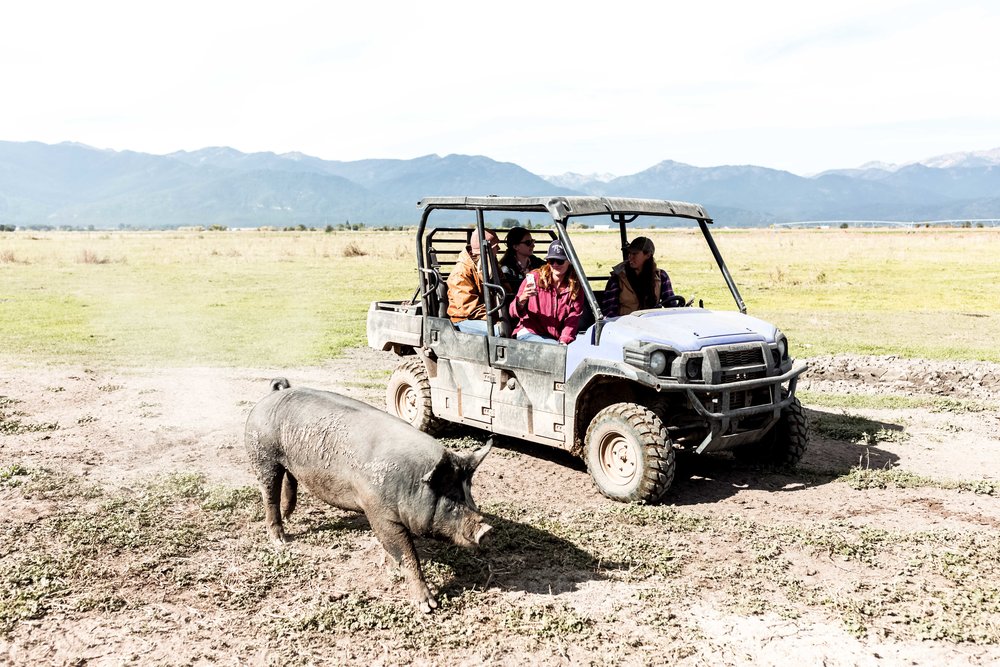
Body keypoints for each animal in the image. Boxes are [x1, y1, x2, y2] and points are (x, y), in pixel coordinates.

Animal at [243, 378, 492, 612]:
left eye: (469, 492)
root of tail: (272, 395)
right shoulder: (379, 511)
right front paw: (428, 606)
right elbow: (406, 553)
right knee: (269, 495)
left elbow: (392, 548)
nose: (487, 529)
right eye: (450, 499)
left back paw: (288, 517)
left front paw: (389, 568)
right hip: (263, 456)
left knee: (289, 482)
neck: (411, 481)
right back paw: (281, 540)